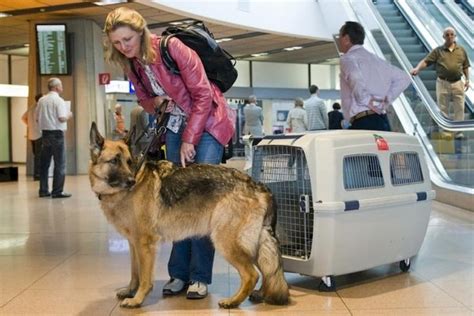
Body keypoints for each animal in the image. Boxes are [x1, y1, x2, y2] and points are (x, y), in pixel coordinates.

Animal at [88, 123, 288, 308]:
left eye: (129, 162)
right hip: (253, 244)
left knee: (252, 274)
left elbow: (144, 277)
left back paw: (233, 301)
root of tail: (258, 185)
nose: (131, 181)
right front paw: (130, 290)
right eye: (114, 161)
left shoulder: (145, 244)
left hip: (225, 241)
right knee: (268, 270)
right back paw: (260, 294)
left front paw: (137, 299)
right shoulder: (133, 244)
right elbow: (134, 273)